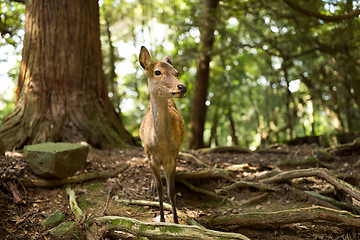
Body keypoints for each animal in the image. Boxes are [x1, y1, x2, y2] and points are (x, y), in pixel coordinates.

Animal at [139, 46, 187, 224]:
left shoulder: (172, 158)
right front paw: (161, 218)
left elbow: (171, 191)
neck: (162, 145)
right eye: (157, 72)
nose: (182, 87)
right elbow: (160, 189)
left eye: (177, 72)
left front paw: (175, 221)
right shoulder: (151, 156)